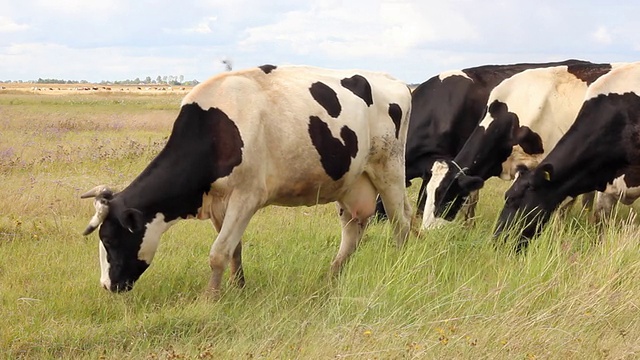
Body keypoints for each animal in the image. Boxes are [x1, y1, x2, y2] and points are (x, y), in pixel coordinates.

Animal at [80, 64, 412, 296]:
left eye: (109, 239)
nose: (107, 285)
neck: (214, 130)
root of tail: (396, 82)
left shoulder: (246, 197)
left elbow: (217, 253)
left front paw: (210, 299)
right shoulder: (219, 203)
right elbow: (232, 249)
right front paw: (238, 288)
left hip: (390, 170)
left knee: (402, 223)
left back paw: (396, 265)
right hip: (351, 183)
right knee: (353, 231)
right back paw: (330, 277)